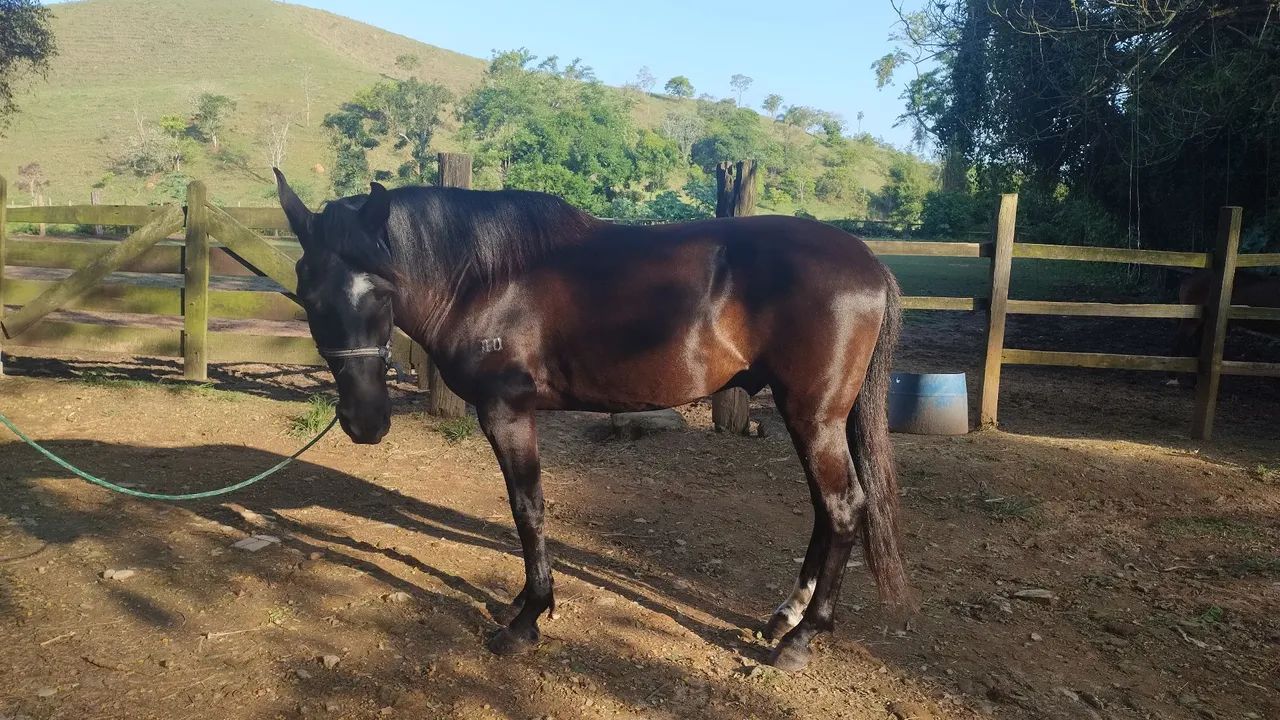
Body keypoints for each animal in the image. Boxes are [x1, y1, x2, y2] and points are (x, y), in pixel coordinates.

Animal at [272, 169, 910, 672]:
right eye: (307, 295)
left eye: (382, 293)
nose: (364, 421)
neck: (486, 279)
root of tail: (870, 263)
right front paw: (523, 605)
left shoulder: (507, 412)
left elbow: (527, 510)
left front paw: (527, 617)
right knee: (827, 511)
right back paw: (784, 618)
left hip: (813, 417)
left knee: (843, 509)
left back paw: (801, 639)